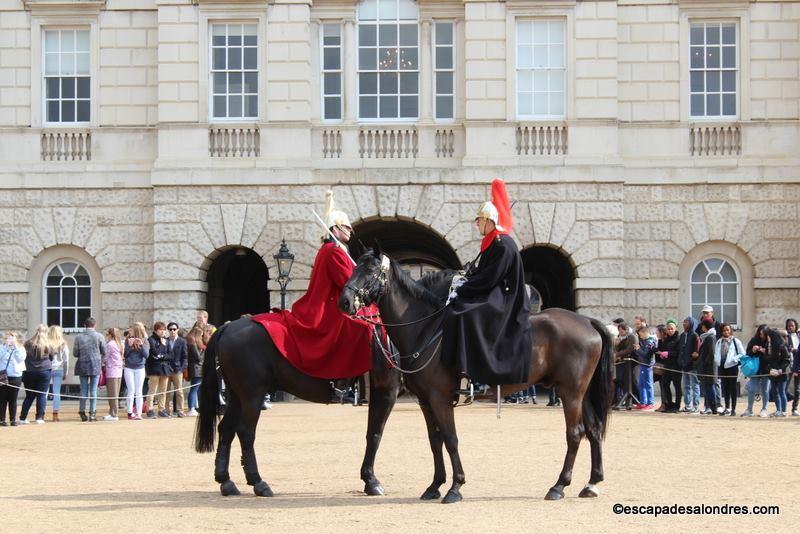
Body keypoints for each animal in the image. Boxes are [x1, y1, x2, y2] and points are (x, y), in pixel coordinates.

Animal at [194, 318, 400, 498]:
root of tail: (228, 326)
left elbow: (373, 433)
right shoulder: (387, 391)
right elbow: (375, 434)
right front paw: (371, 481)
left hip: (237, 396)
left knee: (226, 429)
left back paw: (226, 482)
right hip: (252, 395)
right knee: (246, 433)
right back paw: (258, 482)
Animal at [338, 249, 612, 504]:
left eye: (370, 271)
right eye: (355, 267)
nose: (345, 301)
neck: (426, 329)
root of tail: (587, 320)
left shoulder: (440, 398)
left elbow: (450, 439)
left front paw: (455, 487)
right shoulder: (425, 401)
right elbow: (435, 440)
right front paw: (435, 485)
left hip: (570, 392)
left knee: (575, 433)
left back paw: (559, 485)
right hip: (581, 393)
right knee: (594, 430)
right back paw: (591, 483)